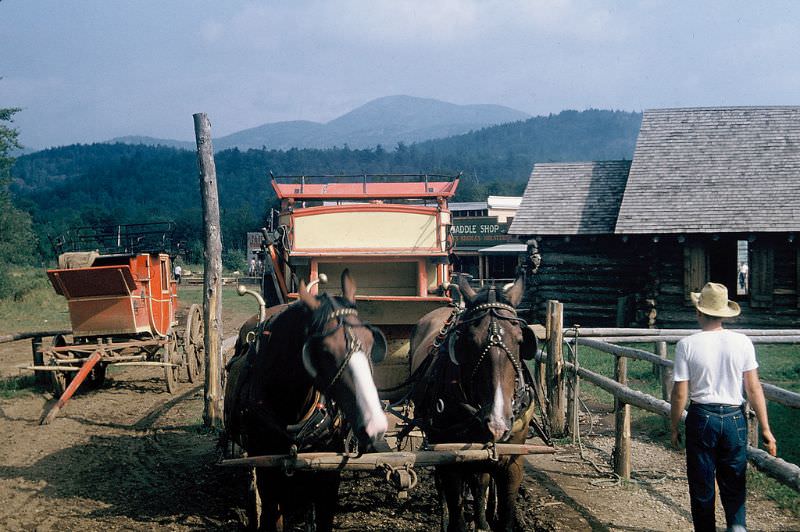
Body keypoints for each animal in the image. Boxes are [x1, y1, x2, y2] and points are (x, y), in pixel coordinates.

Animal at [412, 276, 536, 528]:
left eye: (520, 340)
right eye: (469, 340)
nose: (497, 423)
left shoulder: (513, 464)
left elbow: (504, 515)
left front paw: (486, 519)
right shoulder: (449, 462)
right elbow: (456, 513)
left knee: (480, 481)